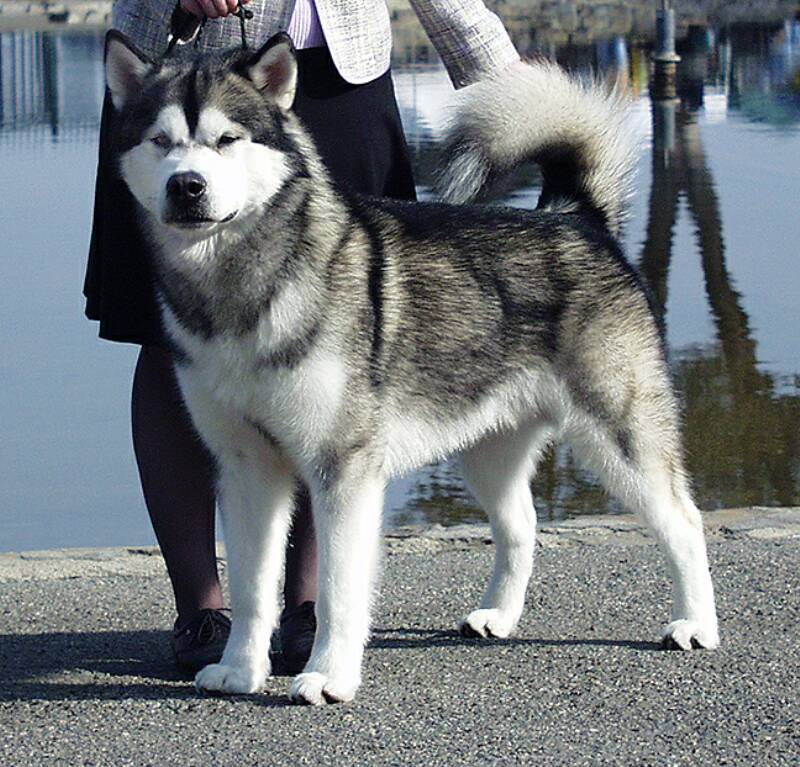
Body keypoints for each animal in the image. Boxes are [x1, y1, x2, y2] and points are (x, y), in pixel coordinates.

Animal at [104, 30, 720, 704]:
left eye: (226, 140)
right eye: (160, 141)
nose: (186, 186)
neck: (242, 289)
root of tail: (573, 217)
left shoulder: (342, 469)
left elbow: (340, 590)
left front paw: (328, 676)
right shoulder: (246, 468)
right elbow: (249, 586)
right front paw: (241, 670)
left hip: (618, 434)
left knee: (684, 521)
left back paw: (696, 625)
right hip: (487, 447)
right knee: (521, 526)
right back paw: (499, 615)